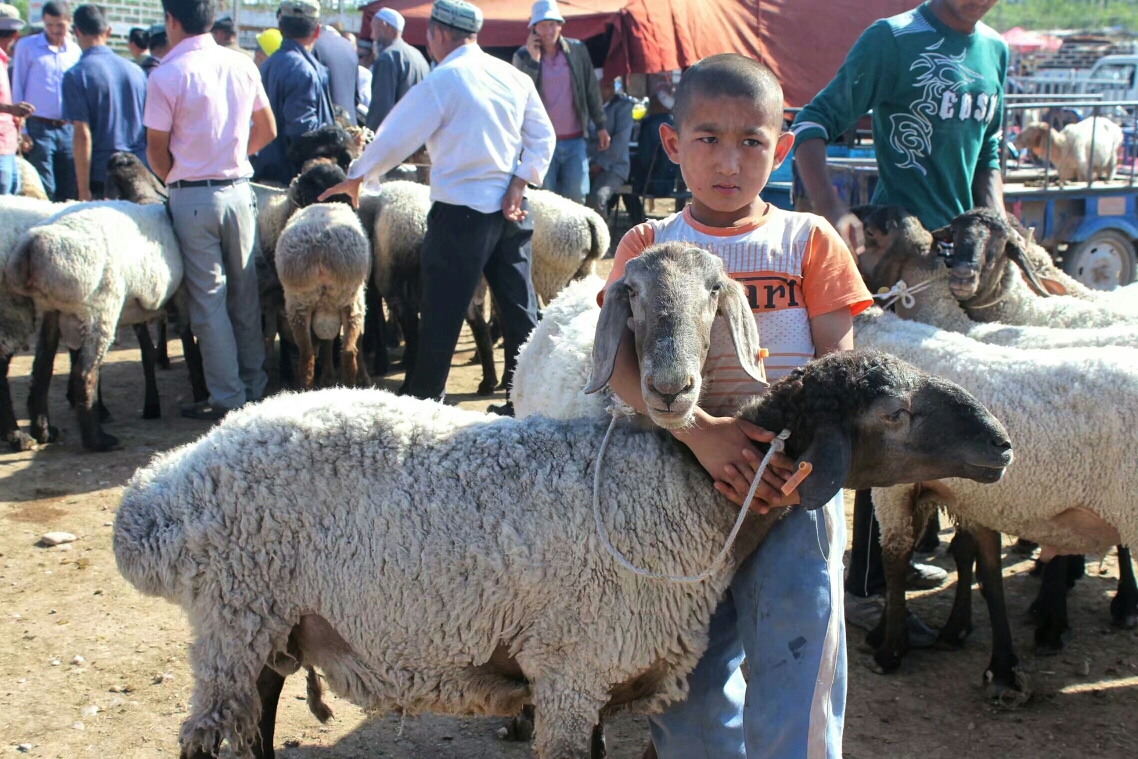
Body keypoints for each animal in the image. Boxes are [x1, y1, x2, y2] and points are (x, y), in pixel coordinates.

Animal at [5, 201, 182, 450]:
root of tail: (30, 247)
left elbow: (149, 351)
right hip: (100, 307)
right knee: (84, 373)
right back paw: (97, 440)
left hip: (53, 309)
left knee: (42, 368)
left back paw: (43, 431)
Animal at [110, 348, 1010, 759]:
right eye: (896, 413)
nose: (1001, 444)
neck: (694, 496)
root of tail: (163, 490)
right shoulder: (576, 668)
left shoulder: (604, 673)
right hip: (235, 615)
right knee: (206, 732)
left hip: (268, 624)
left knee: (254, 715)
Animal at [855, 307, 1138, 700]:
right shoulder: (970, 498)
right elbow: (984, 571)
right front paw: (999, 666)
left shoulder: (897, 488)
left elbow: (895, 559)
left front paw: (889, 650)